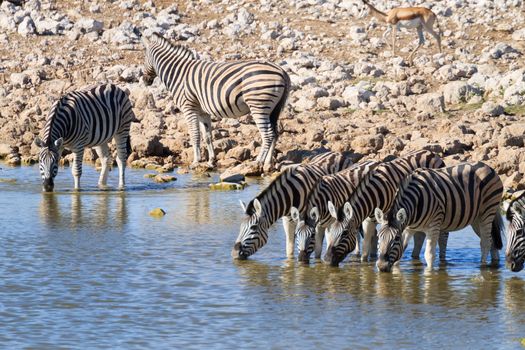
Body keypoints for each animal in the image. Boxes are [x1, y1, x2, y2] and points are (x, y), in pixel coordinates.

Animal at [141, 32, 290, 172]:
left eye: (145, 57)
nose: (145, 81)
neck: (179, 73)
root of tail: (281, 71)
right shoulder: (202, 111)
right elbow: (207, 136)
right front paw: (211, 161)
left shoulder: (189, 107)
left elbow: (195, 134)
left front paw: (196, 161)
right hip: (274, 108)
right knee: (275, 133)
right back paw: (268, 164)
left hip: (259, 105)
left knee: (268, 135)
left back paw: (257, 162)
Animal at [372, 163, 504, 272]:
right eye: (379, 236)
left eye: (396, 239)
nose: (381, 266)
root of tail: (488, 166)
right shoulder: (409, 228)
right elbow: (401, 251)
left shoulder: (434, 225)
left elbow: (429, 255)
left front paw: (430, 274)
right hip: (477, 218)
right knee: (491, 240)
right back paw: (494, 264)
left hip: (487, 211)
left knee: (485, 243)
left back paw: (483, 266)